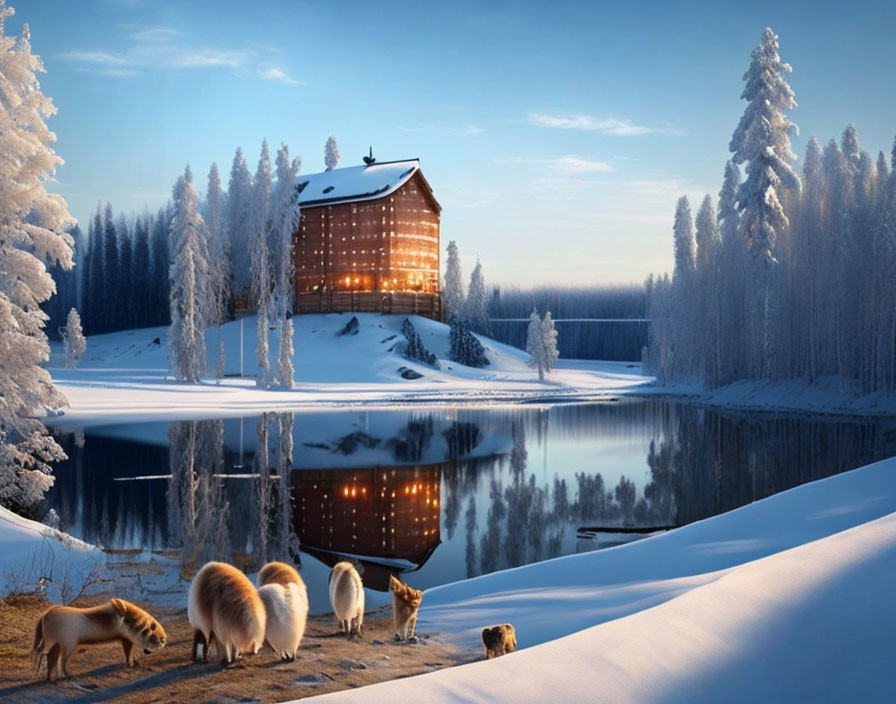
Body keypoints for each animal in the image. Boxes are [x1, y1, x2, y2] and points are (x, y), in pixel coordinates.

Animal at [31, 600, 168, 680]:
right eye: (152, 629)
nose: (163, 640)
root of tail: (45, 614)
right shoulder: (127, 639)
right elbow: (128, 654)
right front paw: (131, 665)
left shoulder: (125, 639)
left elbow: (128, 653)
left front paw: (134, 663)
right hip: (65, 644)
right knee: (54, 659)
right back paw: (64, 676)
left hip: (57, 644)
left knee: (47, 656)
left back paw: (48, 678)